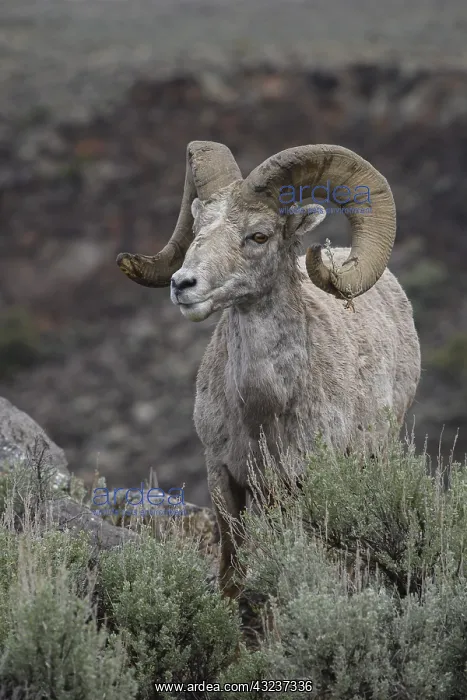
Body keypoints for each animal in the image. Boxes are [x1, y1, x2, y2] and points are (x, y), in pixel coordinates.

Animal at [116, 141, 421, 599]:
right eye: (198, 228)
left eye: (258, 235)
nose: (182, 285)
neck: (265, 409)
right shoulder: (224, 478)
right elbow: (231, 571)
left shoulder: (303, 485)